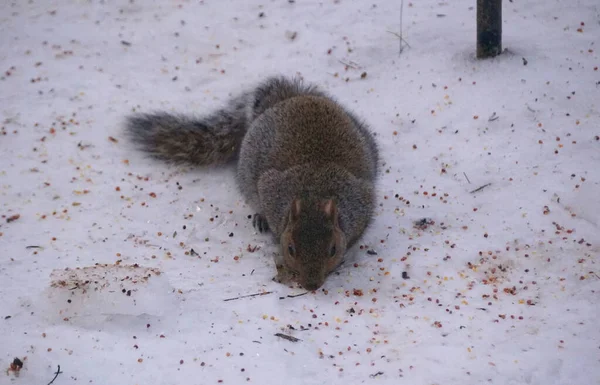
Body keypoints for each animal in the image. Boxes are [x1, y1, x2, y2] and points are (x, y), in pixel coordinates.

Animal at [125, 76, 380, 290]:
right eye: (290, 249)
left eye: (333, 249)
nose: (311, 286)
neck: (314, 196)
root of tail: (287, 99)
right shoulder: (270, 188)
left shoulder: (361, 201)